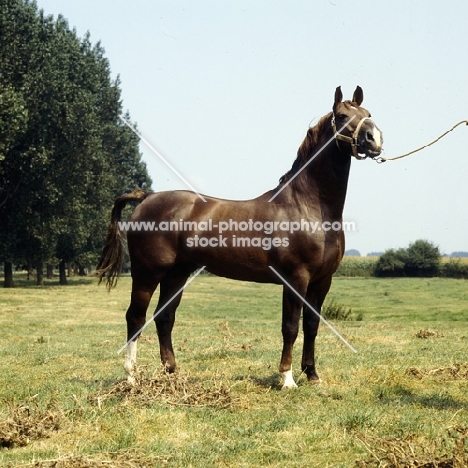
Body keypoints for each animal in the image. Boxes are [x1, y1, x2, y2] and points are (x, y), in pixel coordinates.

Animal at [97, 86, 382, 390]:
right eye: (341, 116)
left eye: (367, 113)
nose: (374, 138)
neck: (306, 206)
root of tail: (146, 197)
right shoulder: (295, 278)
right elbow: (290, 327)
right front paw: (287, 378)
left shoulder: (322, 281)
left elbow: (312, 326)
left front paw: (313, 375)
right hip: (147, 273)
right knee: (135, 317)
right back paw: (131, 377)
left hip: (177, 274)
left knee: (164, 317)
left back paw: (172, 372)